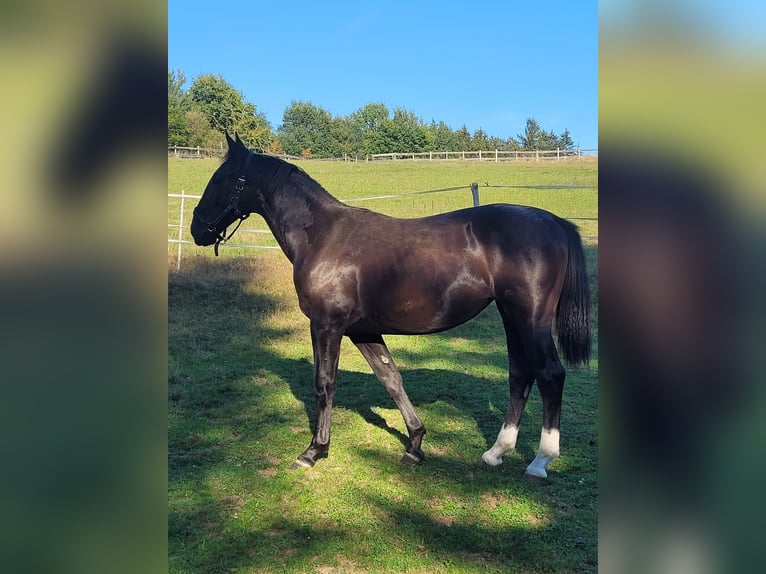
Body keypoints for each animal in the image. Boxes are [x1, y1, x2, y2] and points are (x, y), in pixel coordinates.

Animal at [192, 133, 592, 480]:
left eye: (221, 179)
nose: (198, 229)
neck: (321, 236)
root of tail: (553, 222)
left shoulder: (326, 325)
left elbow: (324, 383)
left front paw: (314, 450)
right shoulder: (363, 331)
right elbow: (391, 379)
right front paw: (414, 445)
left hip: (531, 320)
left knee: (550, 375)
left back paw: (540, 461)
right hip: (512, 318)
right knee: (520, 375)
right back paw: (496, 452)